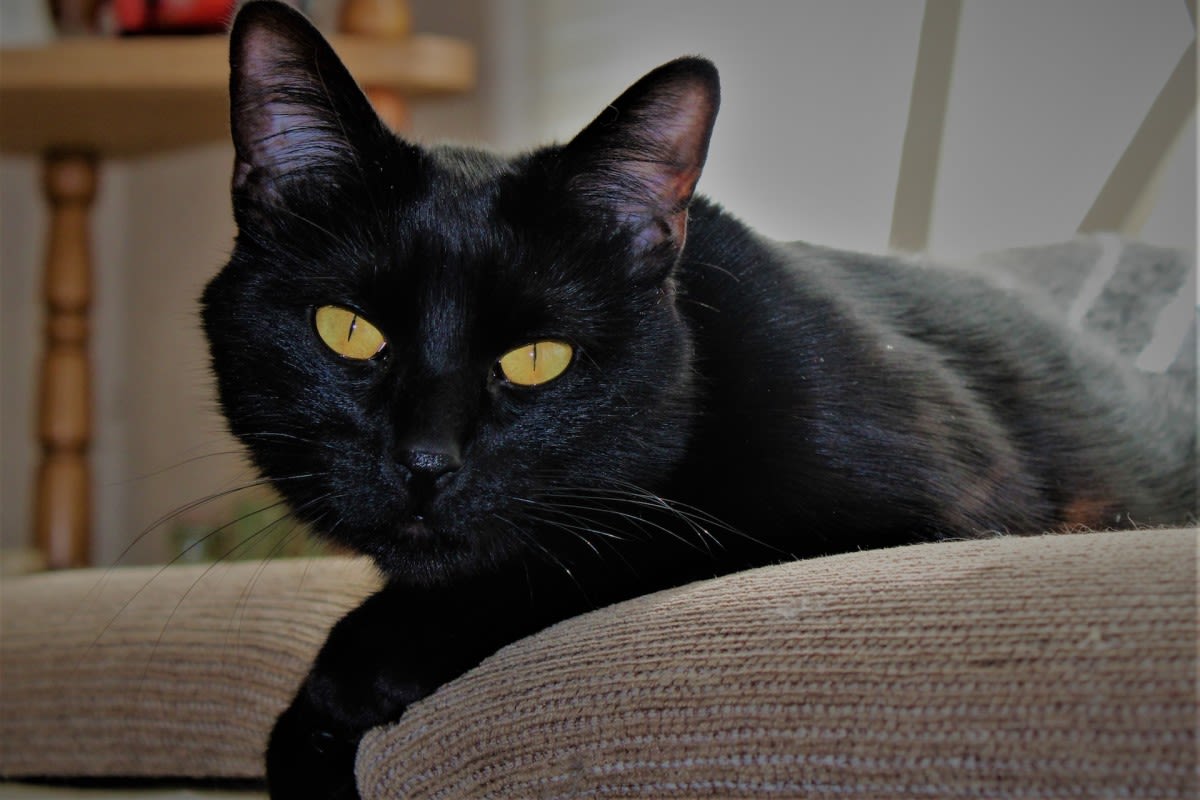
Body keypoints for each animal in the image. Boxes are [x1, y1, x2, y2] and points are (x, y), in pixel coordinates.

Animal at [201, 3, 1195, 796]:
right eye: (348, 330)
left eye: (538, 358)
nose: (424, 462)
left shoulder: (929, 509)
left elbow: (607, 542)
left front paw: (343, 685)